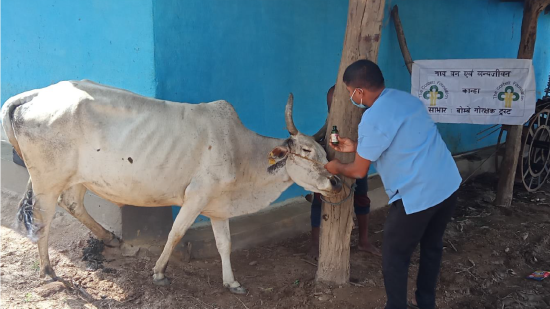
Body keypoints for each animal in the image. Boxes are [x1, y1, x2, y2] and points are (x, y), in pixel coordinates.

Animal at [2, 80, 340, 292]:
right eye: (307, 152)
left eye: (327, 154)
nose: (336, 182)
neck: (241, 151)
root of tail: (33, 95)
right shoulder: (197, 196)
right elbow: (176, 233)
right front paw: (159, 272)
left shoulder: (218, 205)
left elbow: (225, 244)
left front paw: (231, 282)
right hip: (47, 178)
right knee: (43, 218)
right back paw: (48, 271)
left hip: (77, 177)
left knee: (72, 202)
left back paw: (109, 238)